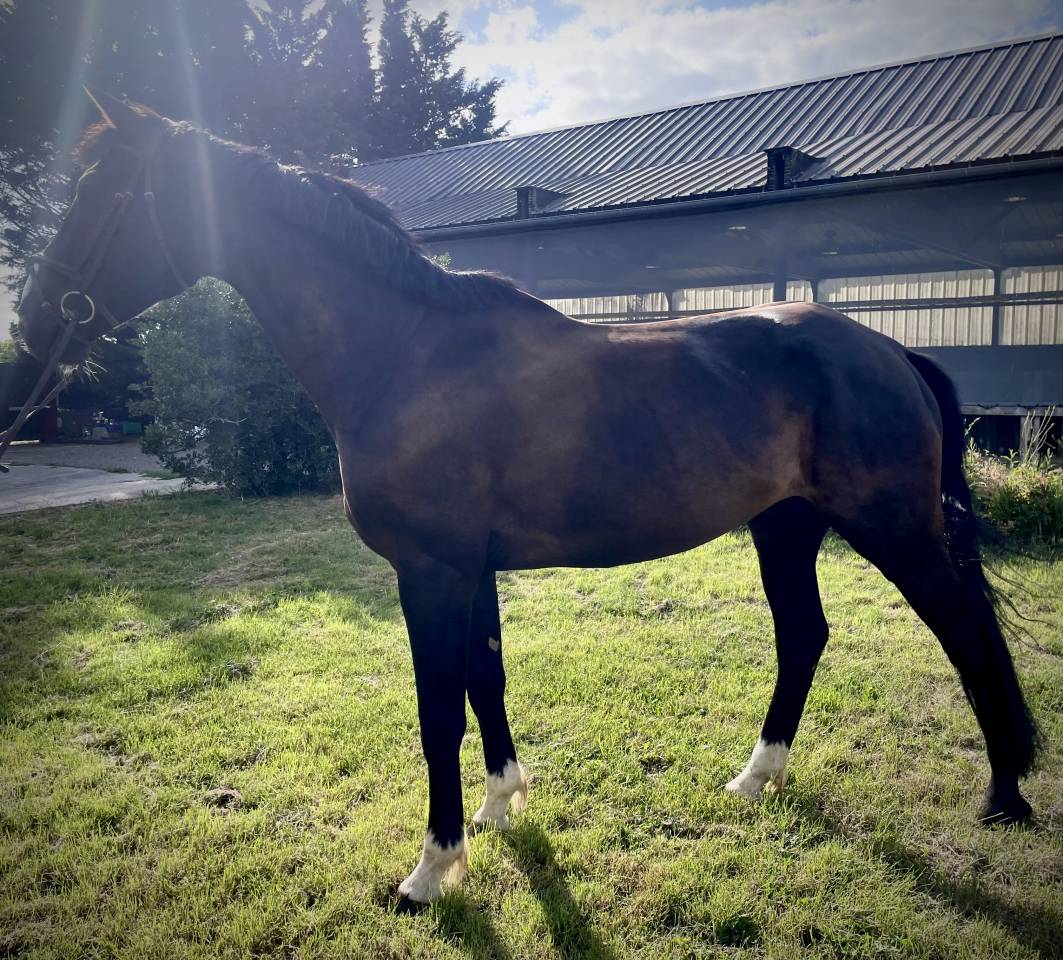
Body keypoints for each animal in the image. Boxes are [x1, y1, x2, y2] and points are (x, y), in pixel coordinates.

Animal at [17, 91, 1039, 907]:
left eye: (106, 198)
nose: (31, 326)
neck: (408, 355)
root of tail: (888, 349)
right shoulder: (469, 569)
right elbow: (487, 678)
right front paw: (501, 805)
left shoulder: (429, 571)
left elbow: (437, 711)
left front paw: (430, 871)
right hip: (783, 528)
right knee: (805, 637)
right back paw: (757, 779)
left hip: (891, 529)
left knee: (962, 631)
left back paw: (1003, 795)